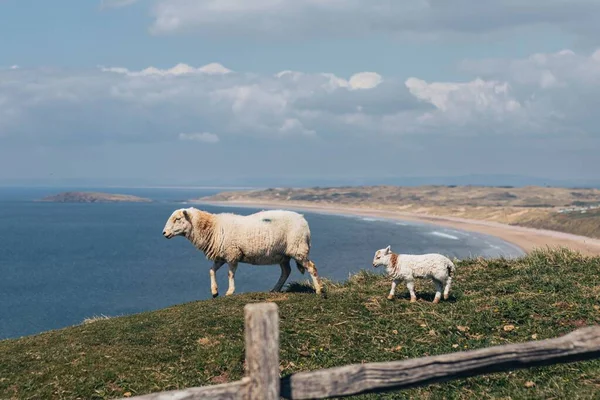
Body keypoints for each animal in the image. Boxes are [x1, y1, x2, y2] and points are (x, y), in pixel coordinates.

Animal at [161, 209, 324, 296]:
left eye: (178, 219)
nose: (164, 233)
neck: (213, 227)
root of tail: (303, 220)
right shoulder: (221, 256)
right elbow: (211, 271)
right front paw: (214, 291)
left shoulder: (232, 254)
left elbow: (230, 274)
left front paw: (229, 291)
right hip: (283, 255)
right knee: (286, 271)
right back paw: (275, 289)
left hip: (298, 249)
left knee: (312, 267)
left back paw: (319, 290)